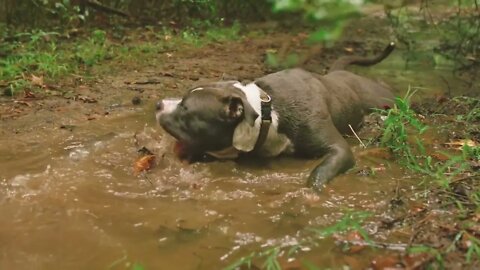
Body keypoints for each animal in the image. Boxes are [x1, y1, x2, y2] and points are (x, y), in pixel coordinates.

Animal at [156, 42, 396, 190]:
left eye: (185, 108)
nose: (158, 104)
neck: (267, 113)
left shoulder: (339, 149)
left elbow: (320, 171)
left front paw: (312, 190)